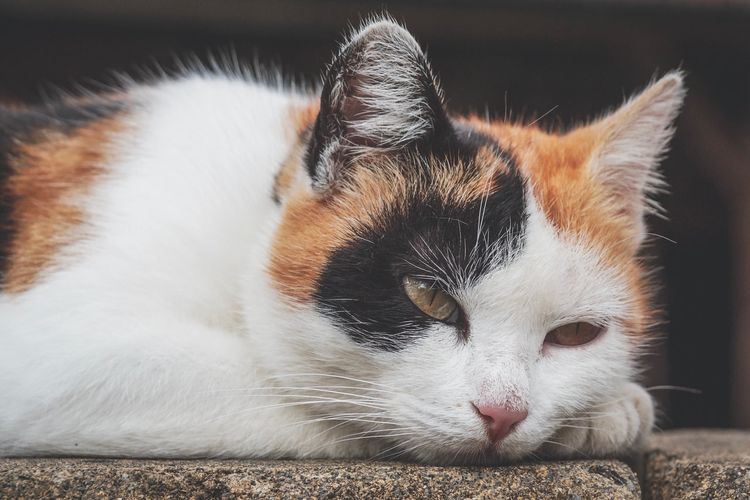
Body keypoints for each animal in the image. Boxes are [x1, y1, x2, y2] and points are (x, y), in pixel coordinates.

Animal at [0, 19, 688, 464]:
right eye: (428, 298)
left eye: (575, 334)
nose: (504, 414)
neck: (249, 216)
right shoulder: (58, 352)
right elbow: (315, 393)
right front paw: (616, 411)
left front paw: (601, 412)